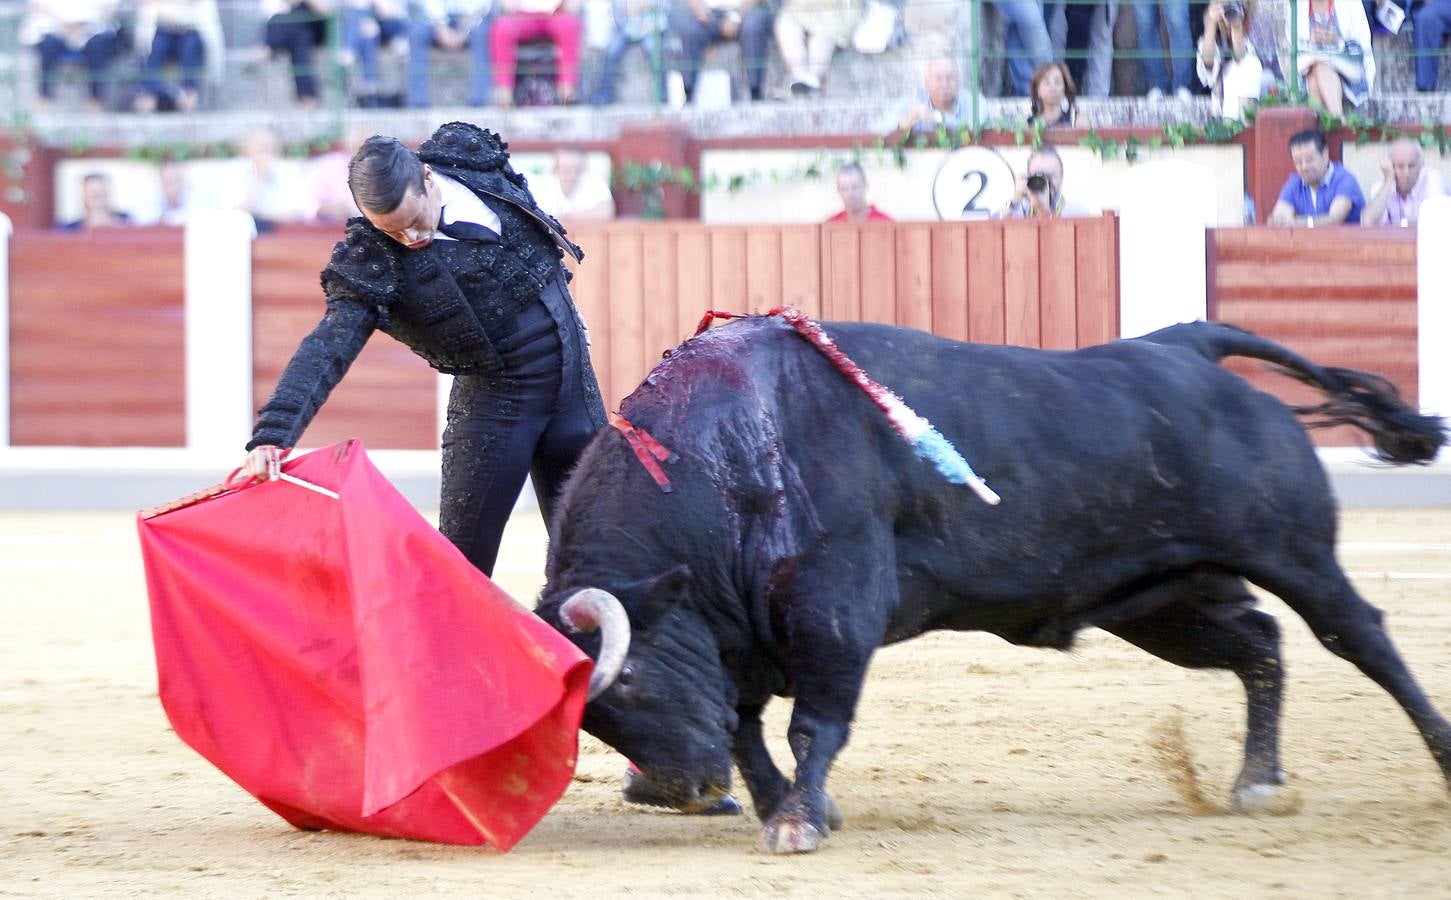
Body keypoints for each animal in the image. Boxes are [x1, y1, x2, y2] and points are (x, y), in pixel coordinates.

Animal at [533, 319, 1451, 853]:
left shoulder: (834, 608)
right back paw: (1255, 781)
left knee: (1359, 637)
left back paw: (1437, 758)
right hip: (1163, 598)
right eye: (593, 719)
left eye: (631, 680)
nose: (685, 791)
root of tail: (1185, 346)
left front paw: (797, 819)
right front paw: (786, 806)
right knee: (1259, 643)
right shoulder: (743, 637)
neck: (728, 451)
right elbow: (746, 730)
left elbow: (808, 724)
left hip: (1292, 551)